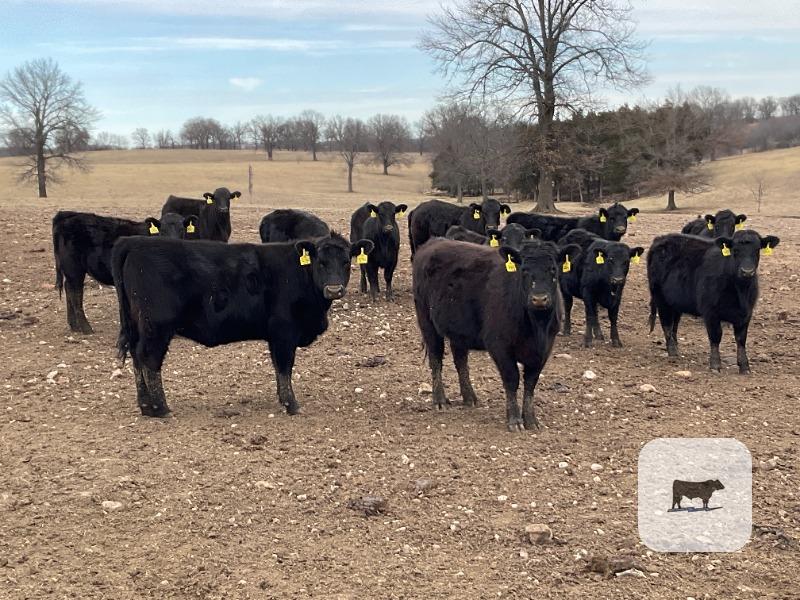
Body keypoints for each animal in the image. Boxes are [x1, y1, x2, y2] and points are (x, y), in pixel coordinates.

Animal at [111, 233, 374, 417]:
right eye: (320, 262)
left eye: (346, 262)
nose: (334, 289)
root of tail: (133, 241)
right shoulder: (284, 332)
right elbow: (284, 367)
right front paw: (291, 404)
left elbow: (279, 369)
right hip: (157, 326)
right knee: (149, 358)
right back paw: (161, 408)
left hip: (138, 325)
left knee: (136, 358)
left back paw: (146, 406)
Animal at [412, 237, 579, 431]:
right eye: (524, 270)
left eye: (553, 269)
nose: (539, 299)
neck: (536, 327)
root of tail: (434, 241)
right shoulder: (499, 345)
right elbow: (512, 379)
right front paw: (514, 420)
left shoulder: (544, 349)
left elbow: (530, 383)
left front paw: (531, 420)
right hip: (427, 321)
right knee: (436, 359)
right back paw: (439, 400)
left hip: (459, 330)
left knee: (460, 360)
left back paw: (469, 397)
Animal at [647, 230, 779, 373]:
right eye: (735, 250)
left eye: (757, 250)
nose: (747, 271)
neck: (740, 291)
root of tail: (661, 239)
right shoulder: (710, 312)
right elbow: (716, 336)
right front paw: (715, 365)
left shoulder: (746, 313)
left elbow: (741, 339)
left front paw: (744, 366)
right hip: (661, 298)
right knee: (666, 323)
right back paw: (672, 351)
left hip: (676, 301)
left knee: (674, 325)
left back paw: (676, 347)